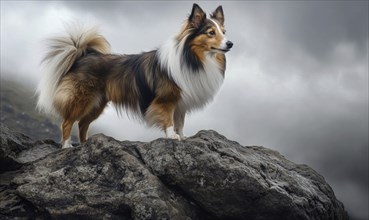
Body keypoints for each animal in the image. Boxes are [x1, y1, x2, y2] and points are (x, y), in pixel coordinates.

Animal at [38, 3, 233, 148]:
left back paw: (86, 144)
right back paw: (67, 146)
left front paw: (183, 136)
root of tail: (83, 55)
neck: (192, 58)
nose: (230, 43)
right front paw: (172, 136)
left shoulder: (181, 102)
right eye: (211, 33)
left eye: (223, 32)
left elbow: (180, 121)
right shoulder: (167, 99)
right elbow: (169, 119)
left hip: (97, 103)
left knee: (82, 123)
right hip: (81, 99)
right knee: (67, 122)